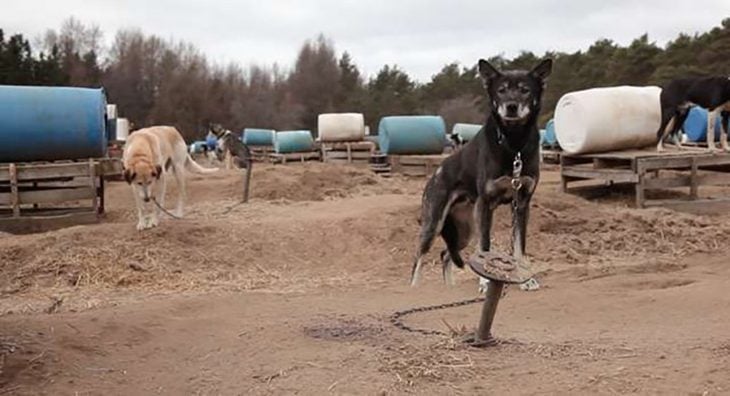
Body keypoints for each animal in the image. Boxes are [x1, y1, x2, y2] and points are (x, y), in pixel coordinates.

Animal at [406, 57, 548, 290]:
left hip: (464, 229)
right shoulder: (485, 204)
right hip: (434, 223)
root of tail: (436, 173)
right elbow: (485, 247)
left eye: (525, 90)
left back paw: (450, 287)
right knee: (419, 256)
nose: (511, 106)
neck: (513, 142)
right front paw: (486, 282)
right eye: (501, 90)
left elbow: (519, 246)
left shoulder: (522, 203)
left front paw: (526, 280)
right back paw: (414, 288)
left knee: (445, 254)